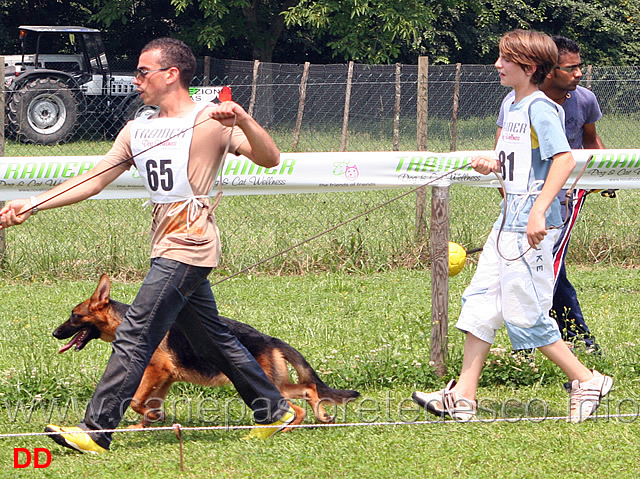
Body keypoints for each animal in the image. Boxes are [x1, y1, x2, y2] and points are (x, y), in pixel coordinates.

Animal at [52, 276, 360, 430]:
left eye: (74, 315)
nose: (54, 333)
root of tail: (269, 339)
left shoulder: (156, 371)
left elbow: (138, 401)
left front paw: (152, 418)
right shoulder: (164, 379)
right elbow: (148, 403)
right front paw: (147, 423)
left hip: (268, 385)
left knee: (297, 406)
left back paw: (288, 425)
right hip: (277, 382)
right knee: (308, 388)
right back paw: (320, 417)